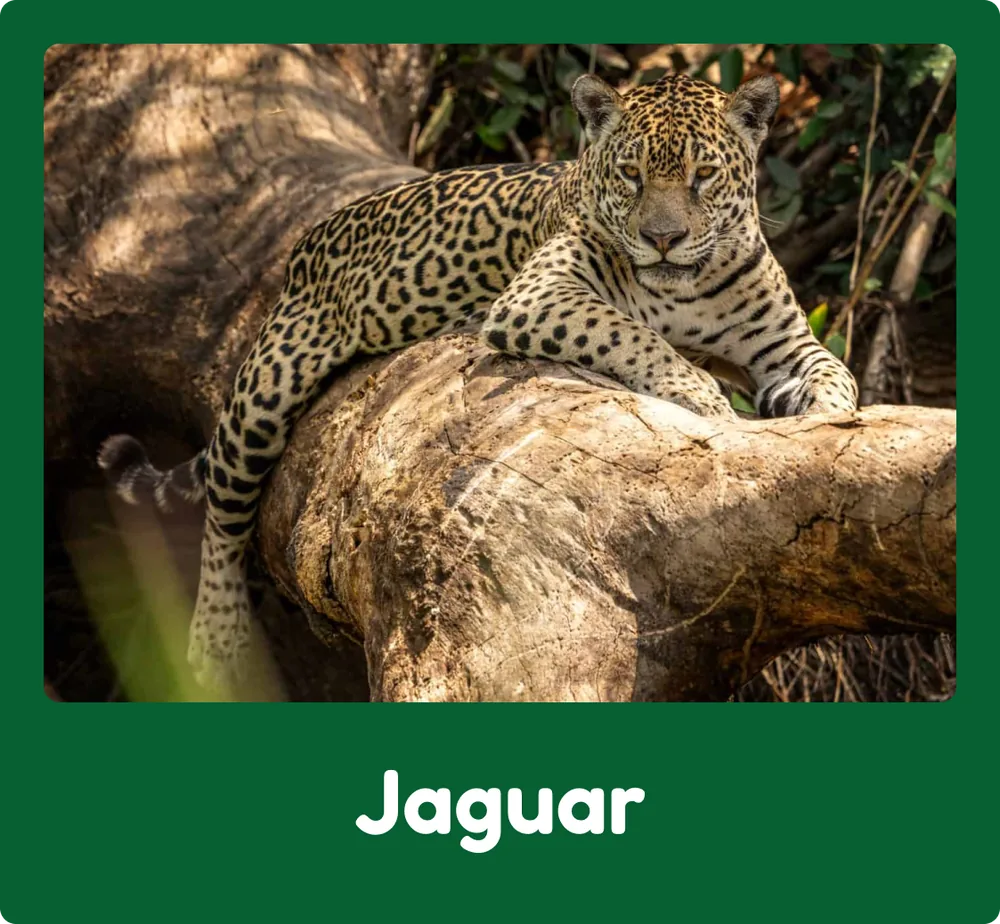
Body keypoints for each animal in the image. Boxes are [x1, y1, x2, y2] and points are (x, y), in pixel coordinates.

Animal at [98, 72, 858, 694]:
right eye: (633, 175)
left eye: (703, 175)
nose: (663, 239)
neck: (688, 287)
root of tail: (307, 244)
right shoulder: (541, 295)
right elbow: (632, 333)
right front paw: (706, 397)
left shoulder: (787, 343)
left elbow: (839, 378)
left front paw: (822, 420)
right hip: (268, 385)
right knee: (222, 516)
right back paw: (215, 634)